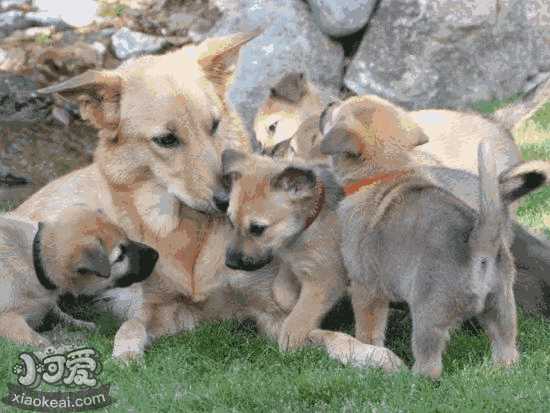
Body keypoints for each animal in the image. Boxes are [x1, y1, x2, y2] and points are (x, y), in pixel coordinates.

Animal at [0, 206, 160, 348]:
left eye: (127, 237)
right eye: (120, 256)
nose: (156, 254)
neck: (37, 260)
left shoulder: (49, 306)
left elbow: (63, 315)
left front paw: (84, 325)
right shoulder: (8, 318)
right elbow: (32, 337)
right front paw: (48, 345)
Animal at [320, 95, 550, 378]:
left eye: (338, 112)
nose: (328, 104)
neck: (388, 172)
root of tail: (479, 243)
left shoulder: (365, 287)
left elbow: (368, 330)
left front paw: (369, 351)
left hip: (428, 315)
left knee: (430, 363)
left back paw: (413, 377)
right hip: (502, 307)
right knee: (507, 349)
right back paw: (500, 369)